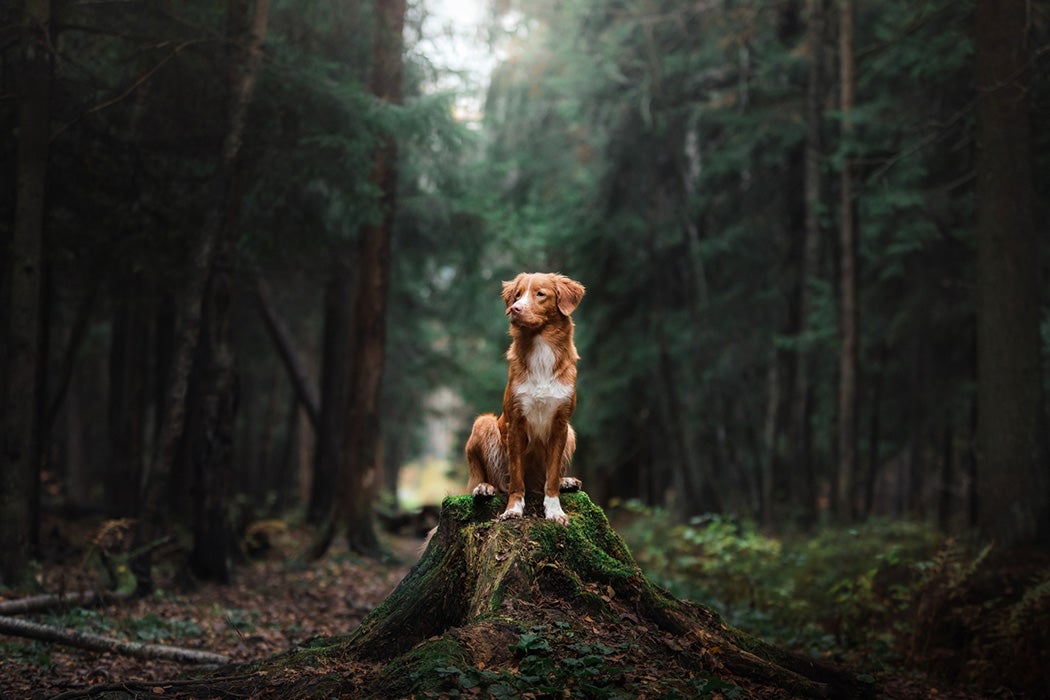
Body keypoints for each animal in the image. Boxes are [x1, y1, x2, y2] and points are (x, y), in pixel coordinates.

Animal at [466, 272, 588, 524]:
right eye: (518, 295)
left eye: (540, 294)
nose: (515, 308)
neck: (541, 348)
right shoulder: (516, 422)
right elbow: (516, 477)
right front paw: (513, 509)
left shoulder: (561, 423)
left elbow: (551, 477)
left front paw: (554, 511)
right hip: (484, 423)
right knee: (491, 479)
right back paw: (483, 487)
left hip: (571, 432)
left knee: (547, 479)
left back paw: (566, 482)